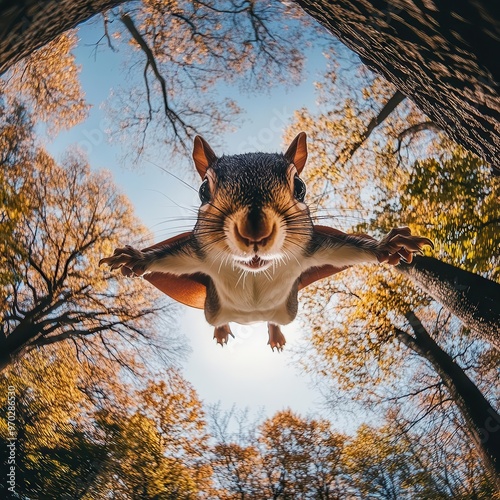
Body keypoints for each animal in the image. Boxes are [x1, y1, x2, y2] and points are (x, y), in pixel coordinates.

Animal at [99, 135, 432, 350]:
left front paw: (387, 246)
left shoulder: (313, 249)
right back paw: (223, 329)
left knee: (275, 320)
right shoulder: (198, 254)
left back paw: (274, 333)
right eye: (203, 191)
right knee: (217, 319)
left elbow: (349, 249)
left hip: (287, 310)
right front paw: (135, 258)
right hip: (212, 309)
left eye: (300, 187)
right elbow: (169, 257)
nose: (255, 231)